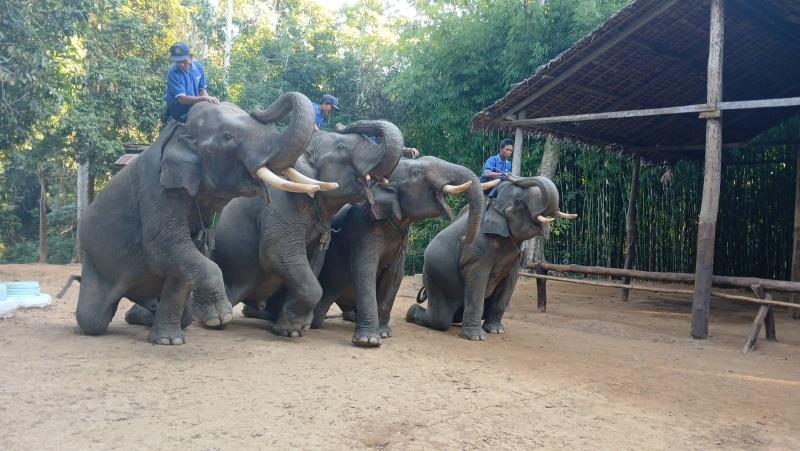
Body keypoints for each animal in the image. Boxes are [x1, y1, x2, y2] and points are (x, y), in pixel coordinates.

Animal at [74, 92, 319, 345]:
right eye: (228, 136)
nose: (259, 108)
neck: (180, 134)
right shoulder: (156, 188)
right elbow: (164, 248)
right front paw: (220, 317)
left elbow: (187, 255)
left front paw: (169, 341)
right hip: (94, 258)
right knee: (92, 318)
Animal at [193, 120, 405, 337]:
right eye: (341, 147)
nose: (340, 124)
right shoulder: (279, 206)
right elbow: (276, 253)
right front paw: (292, 330)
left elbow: (313, 262)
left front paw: (293, 328)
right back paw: (213, 319)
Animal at [309, 156, 484, 346]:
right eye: (417, 173)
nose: (463, 238)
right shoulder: (361, 231)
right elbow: (365, 271)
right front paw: (368, 341)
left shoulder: (401, 240)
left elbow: (394, 275)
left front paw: (384, 333)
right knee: (318, 316)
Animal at [405, 176, 577, 341]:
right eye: (519, 202)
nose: (508, 175)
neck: (495, 206)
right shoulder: (477, 248)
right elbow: (477, 279)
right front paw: (477, 337)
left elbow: (509, 283)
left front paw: (496, 330)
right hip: (433, 277)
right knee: (440, 319)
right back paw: (410, 313)